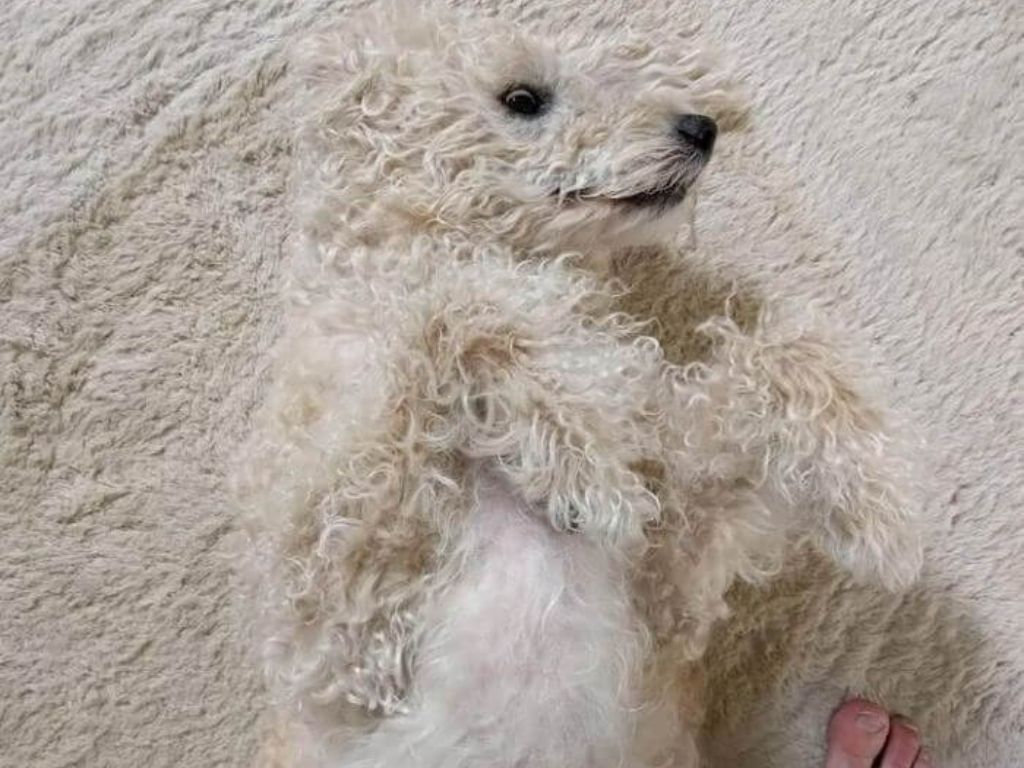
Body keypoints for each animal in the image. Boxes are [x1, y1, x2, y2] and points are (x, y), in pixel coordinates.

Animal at [235, 4, 925, 765]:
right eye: (522, 98)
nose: (701, 126)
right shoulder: (338, 636)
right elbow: (454, 317)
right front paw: (579, 465)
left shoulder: (667, 589)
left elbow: (793, 356)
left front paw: (880, 515)